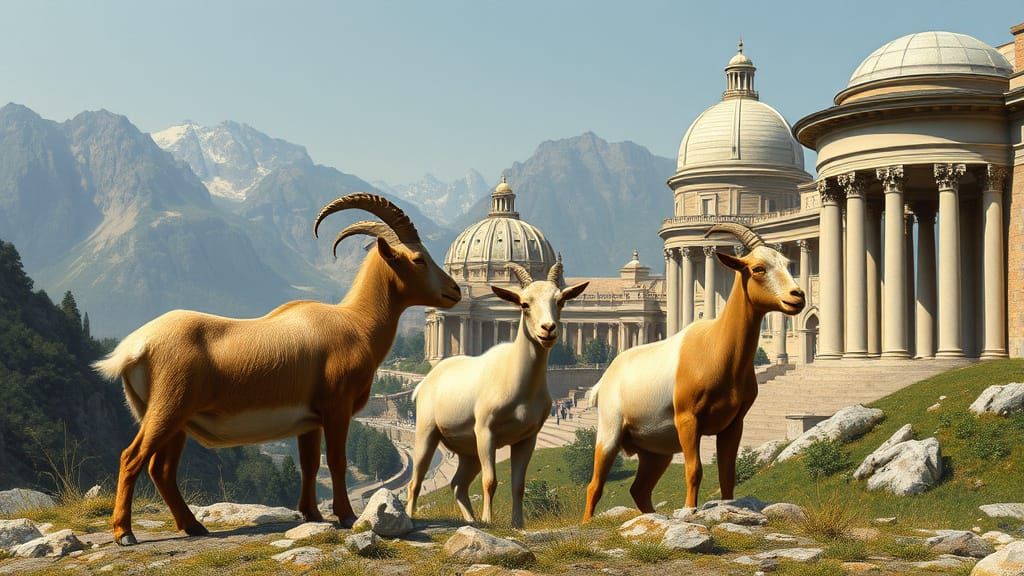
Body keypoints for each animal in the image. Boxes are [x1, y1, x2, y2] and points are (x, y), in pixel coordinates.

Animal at [93, 193, 461, 546]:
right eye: (418, 259)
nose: (455, 290)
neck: (355, 323)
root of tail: (135, 348)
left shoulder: (309, 420)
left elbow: (310, 465)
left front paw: (312, 514)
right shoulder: (336, 408)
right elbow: (337, 461)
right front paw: (346, 516)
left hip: (175, 421)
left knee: (162, 469)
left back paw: (193, 526)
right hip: (166, 410)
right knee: (131, 457)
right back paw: (124, 533)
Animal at [405, 260, 588, 528]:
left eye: (560, 301)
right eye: (524, 303)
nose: (548, 330)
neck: (516, 381)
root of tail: (426, 381)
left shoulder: (527, 438)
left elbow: (518, 485)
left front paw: (517, 523)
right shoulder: (486, 431)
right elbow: (490, 481)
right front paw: (489, 520)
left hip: (468, 450)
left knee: (458, 484)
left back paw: (471, 521)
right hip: (427, 432)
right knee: (415, 481)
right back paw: (409, 518)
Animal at [582, 223, 804, 521]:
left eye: (788, 264)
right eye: (758, 268)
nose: (797, 297)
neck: (716, 348)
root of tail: (603, 382)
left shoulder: (733, 423)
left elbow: (727, 473)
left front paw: (728, 508)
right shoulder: (688, 419)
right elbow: (694, 468)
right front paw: (689, 510)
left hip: (656, 450)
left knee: (639, 489)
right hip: (610, 432)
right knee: (595, 485)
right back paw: (586, 522)